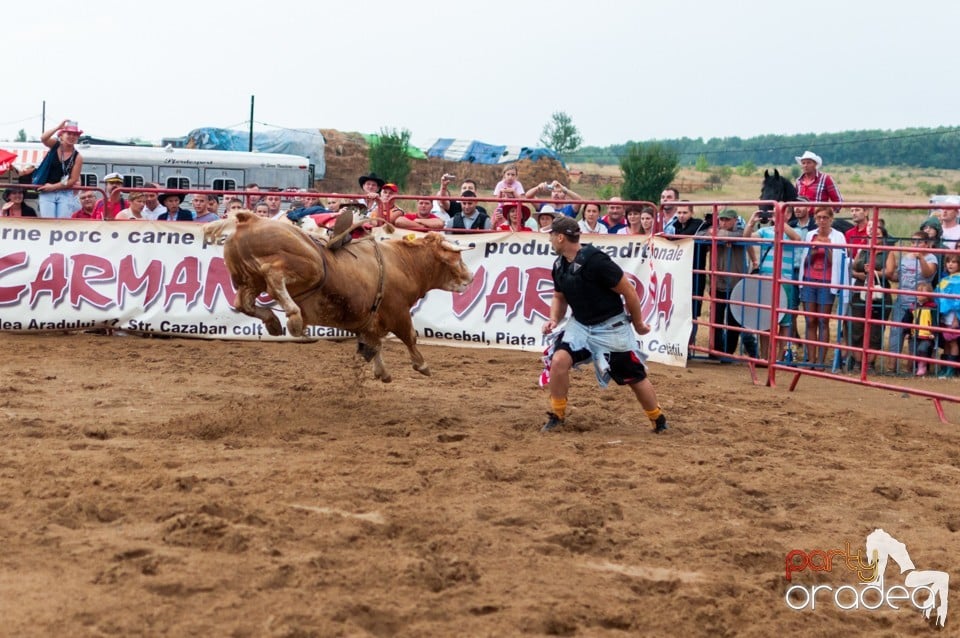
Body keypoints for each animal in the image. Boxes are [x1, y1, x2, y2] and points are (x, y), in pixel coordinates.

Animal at [205, 215, 472, 382]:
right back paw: (293, 317)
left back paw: (272, 321)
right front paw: (422, 365)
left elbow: (374, 344)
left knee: (243, 302)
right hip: (308, 267)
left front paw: (382, 372)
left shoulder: (370, 321)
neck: (403, 263)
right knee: (274, 275)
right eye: (457, 258)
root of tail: (249, 218)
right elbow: (410, 336)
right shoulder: (398, 312)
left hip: (248, 280)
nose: (469, 277)